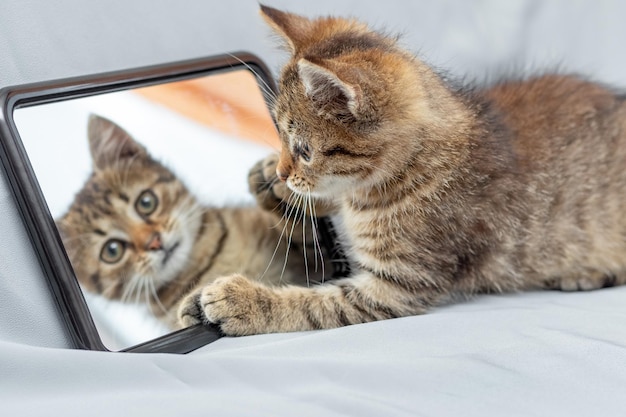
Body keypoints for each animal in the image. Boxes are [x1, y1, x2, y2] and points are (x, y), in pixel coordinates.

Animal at [177, 4, 626, 336]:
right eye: (283, 140)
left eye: (303, 150)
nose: (285, 171)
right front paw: (272, 180)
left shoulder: (400, 283)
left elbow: (317, 304)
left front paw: (243, 301)